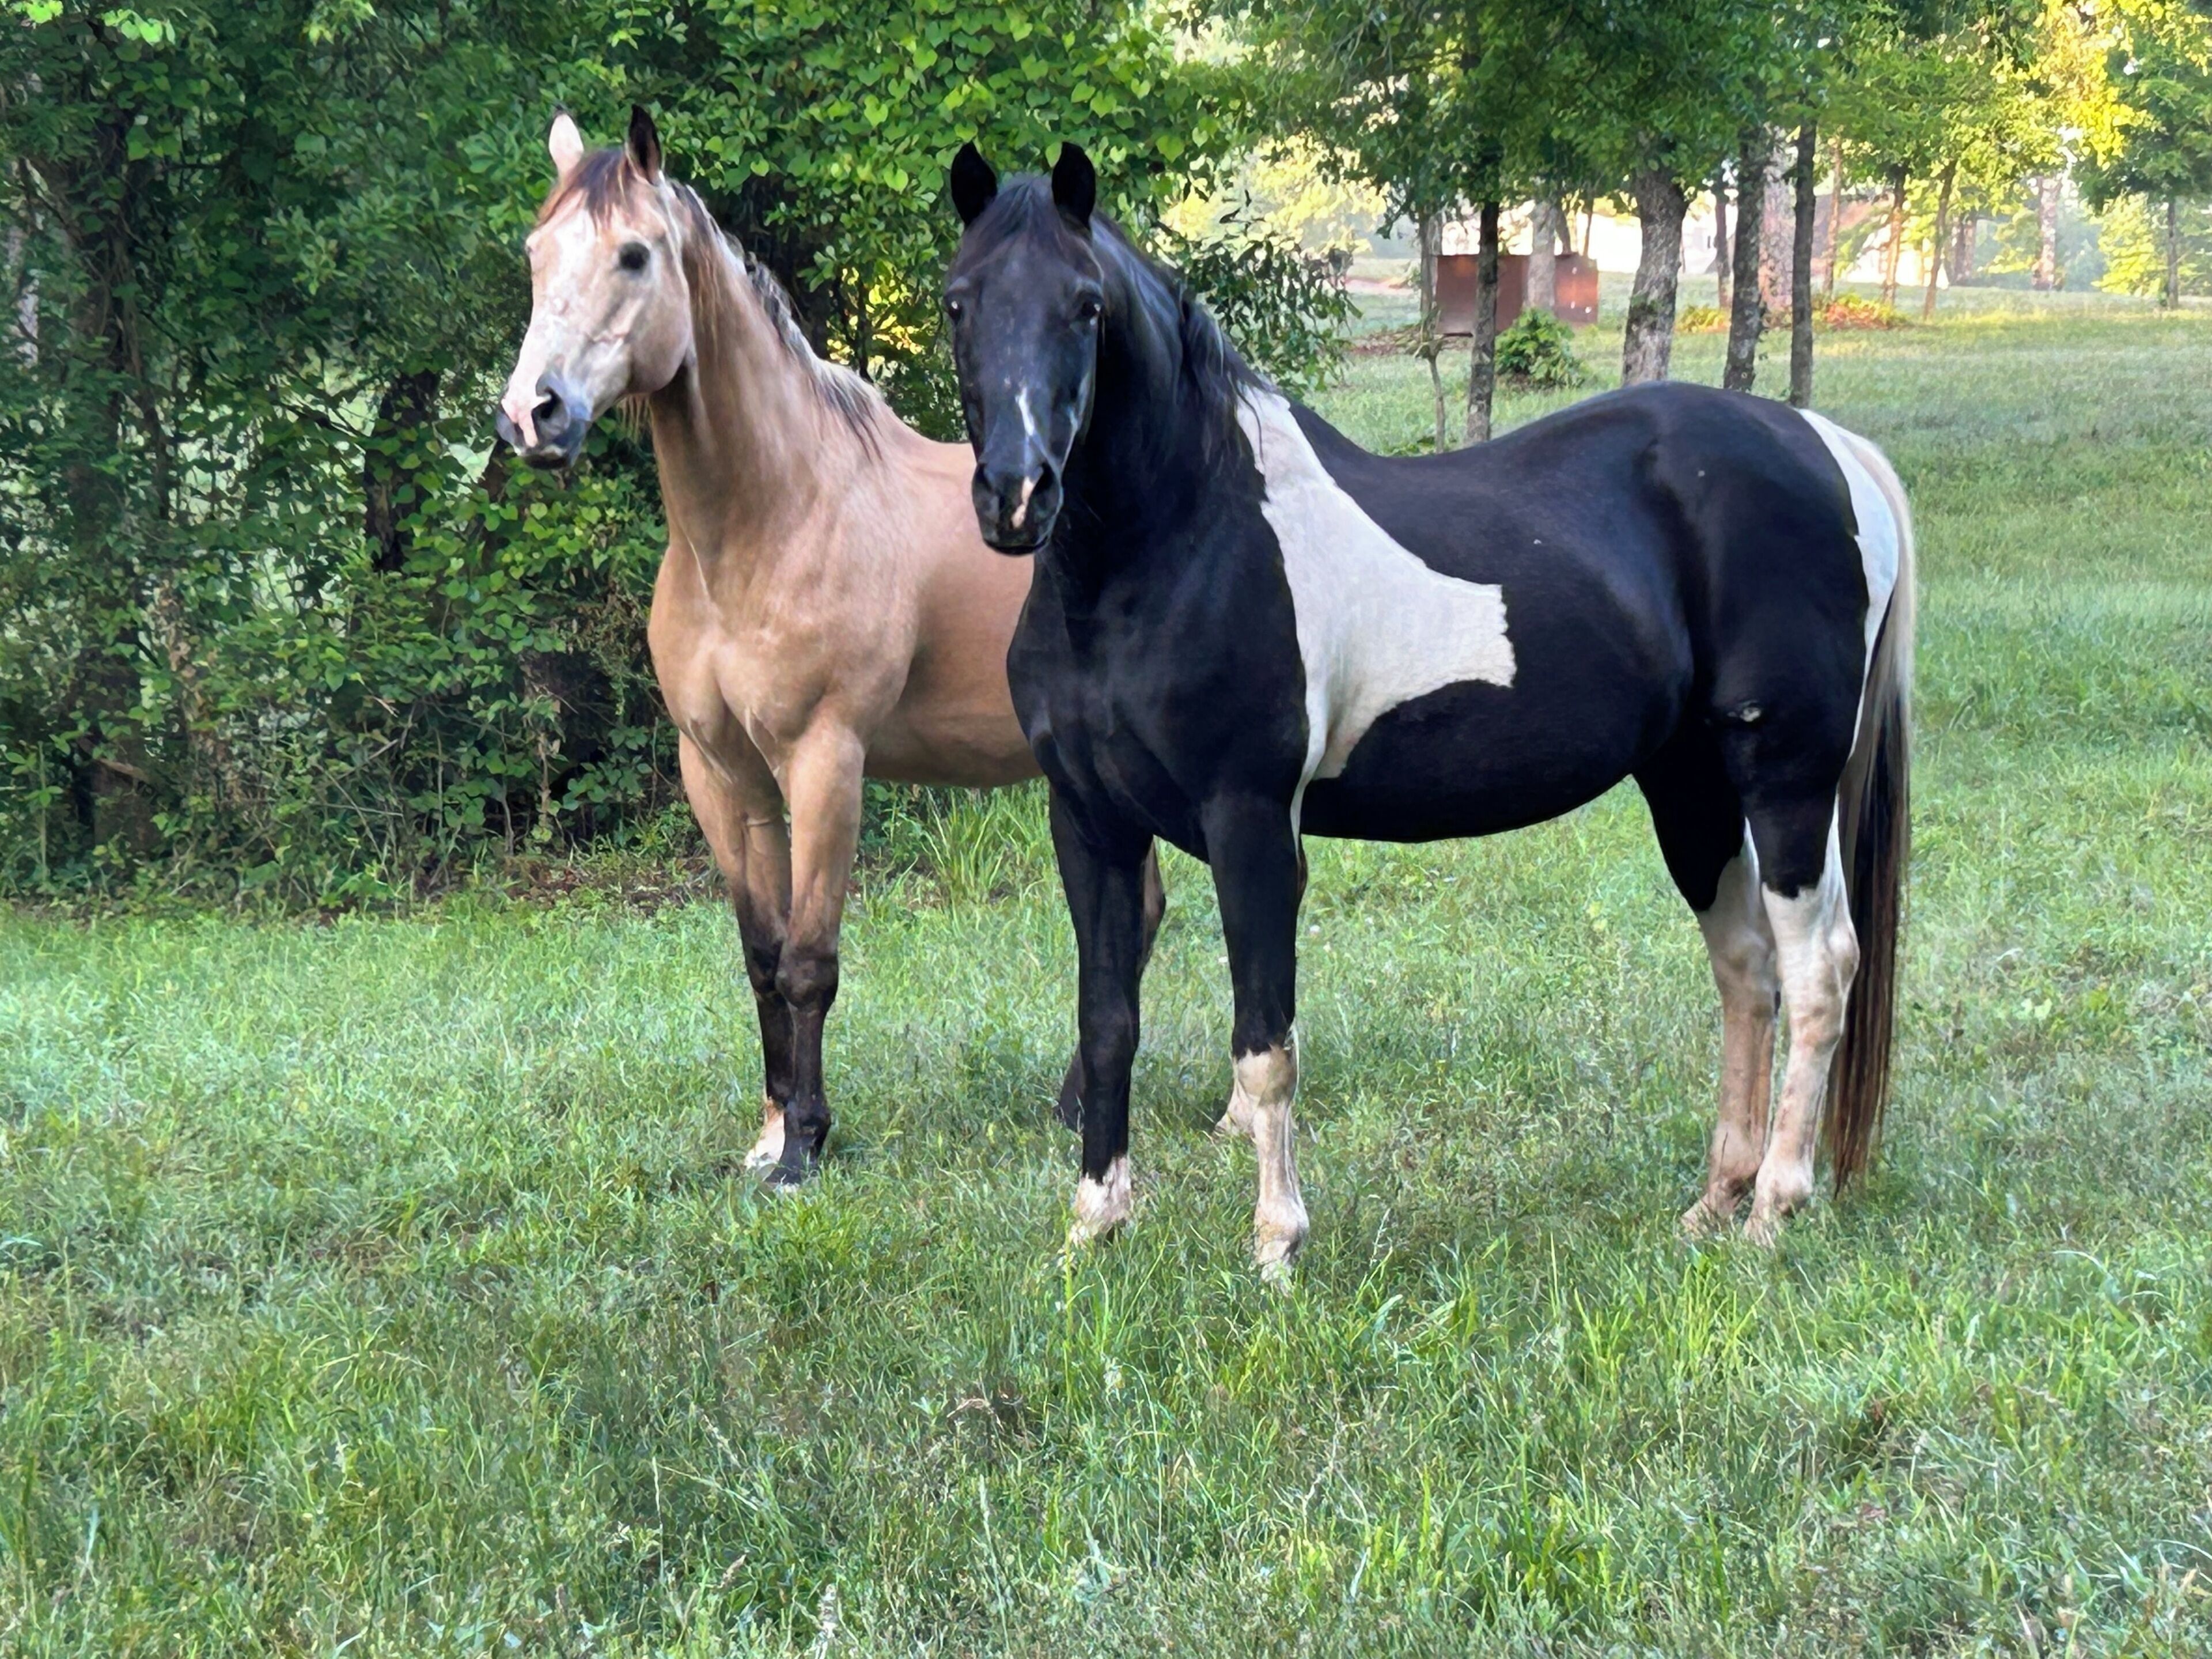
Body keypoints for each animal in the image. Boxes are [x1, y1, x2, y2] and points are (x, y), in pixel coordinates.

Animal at [494, 109, 1161, 1184]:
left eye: (635, 254)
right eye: (534, 252)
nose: (532, 414)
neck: (771, 519)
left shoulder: (824, 762)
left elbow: (812, 962)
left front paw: (805, 1146)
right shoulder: (723, 774)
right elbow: (762, 957)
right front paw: (769, 1130)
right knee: (1138, 916)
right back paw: (1072, 1109)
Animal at [941, 144, 1914, 1274]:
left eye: (1087, 307)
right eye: (959, 301)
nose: (1017, 496)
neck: (1177, 545)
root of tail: (1831, 448)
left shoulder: (1251, 824)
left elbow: (1264, 1046)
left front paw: (1276, 1247)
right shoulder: (1089, 822)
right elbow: (1107, 1026)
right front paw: (1094, 1228)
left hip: (1787, 780)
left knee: (1818, 969)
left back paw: (1774, 1213)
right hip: (1692, 785)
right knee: (1747, 970)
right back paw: (1717, 1200)